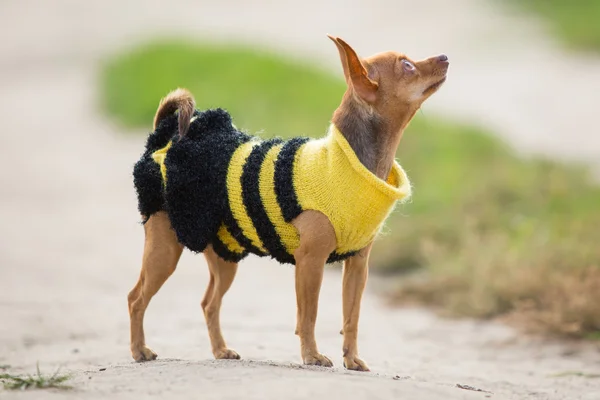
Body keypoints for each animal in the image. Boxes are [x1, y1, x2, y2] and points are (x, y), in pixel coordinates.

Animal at [126, 35, 448, 372]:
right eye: (407, 66)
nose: (445, 56)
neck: (350, 163)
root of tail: (163, 140)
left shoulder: (358, 266)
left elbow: (351, 316)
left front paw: (351, 358)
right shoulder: (310, 262)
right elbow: (309, 315)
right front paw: (312, 355)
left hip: (224, 257)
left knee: (208, 303)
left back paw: (220, 350)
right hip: (165, 251)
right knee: (136, 298)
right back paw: (139, 350)